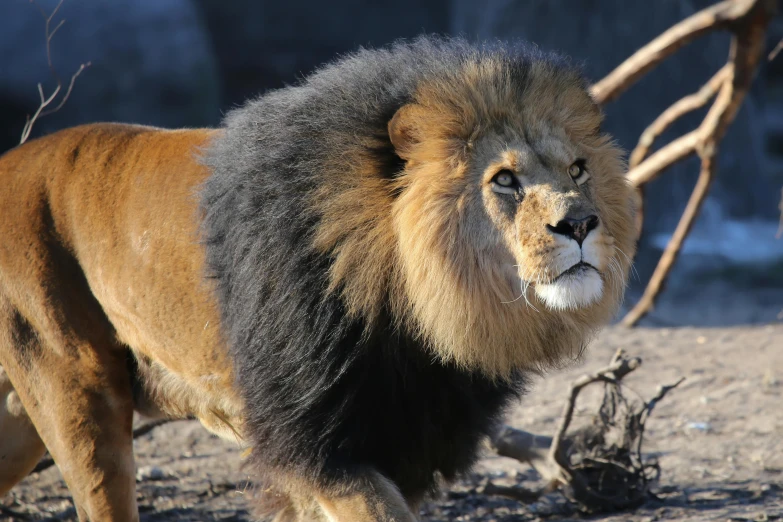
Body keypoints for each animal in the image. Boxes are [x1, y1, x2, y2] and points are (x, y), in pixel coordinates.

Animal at [0, 37, 636, 520]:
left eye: (578, 169)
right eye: (504, 180)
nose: (581, 223)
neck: (421, 317)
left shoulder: (408, 442)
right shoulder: (314, 445)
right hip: (77, 390)